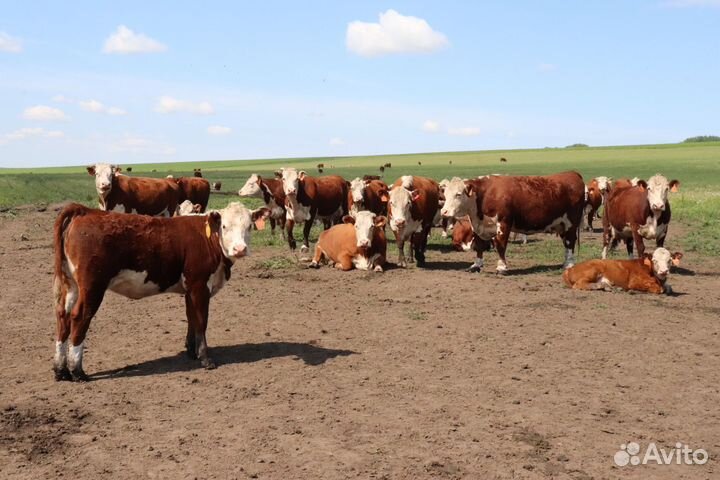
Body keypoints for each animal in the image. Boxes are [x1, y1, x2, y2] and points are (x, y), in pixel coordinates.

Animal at [52, 202, 270, 381]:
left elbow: (191, 318)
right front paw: (205, 358)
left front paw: (191, 351)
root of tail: (85, 211)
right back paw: (77, 371)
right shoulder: (199, 285)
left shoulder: (189, 288)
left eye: (249, 226)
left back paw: (60, 370)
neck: (208, 239)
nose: (240, 249)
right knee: (79, 316)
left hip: (71, 285)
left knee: (63, 316)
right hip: (92, 286)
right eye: (225, 226)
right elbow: (202, 321)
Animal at [440, 172, 585, 274]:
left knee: (570, 242)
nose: (444, 211)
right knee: (566, 243)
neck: (485, 195)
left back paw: (569, 264)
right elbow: (479, 246)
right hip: (561, 224)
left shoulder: (504, 224)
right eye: (445, 195)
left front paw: (502, 267)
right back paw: (565, 263)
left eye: (458, 194)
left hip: (571, 224)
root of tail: (572, 173)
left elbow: (500, 245)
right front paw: (476, 265)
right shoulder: (479, 226)